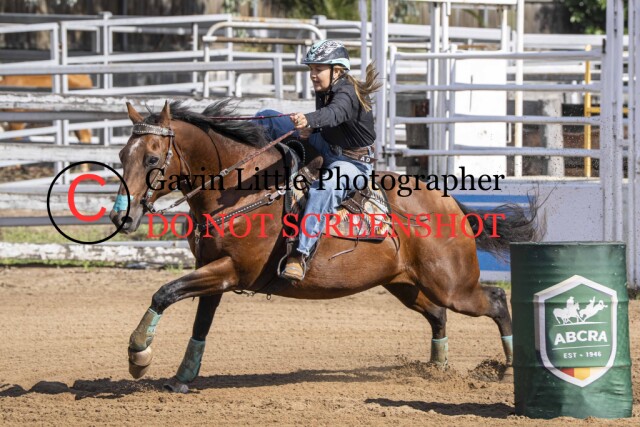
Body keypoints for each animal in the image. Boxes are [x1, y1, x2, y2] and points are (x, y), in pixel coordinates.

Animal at [113, 100, 539, 393]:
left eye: (152, 157)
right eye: (121, 154)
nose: (123, 217)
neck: (242, 188)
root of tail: (449, 202)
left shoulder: (231, 271)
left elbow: (164, 292)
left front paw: (138, 356)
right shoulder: (214, 273)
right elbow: (198, 322)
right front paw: (181, 378)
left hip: (452, 284)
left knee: (495, 300)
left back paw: (507, 370)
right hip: (406, 284)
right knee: (438, 316)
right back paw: (437, 369)